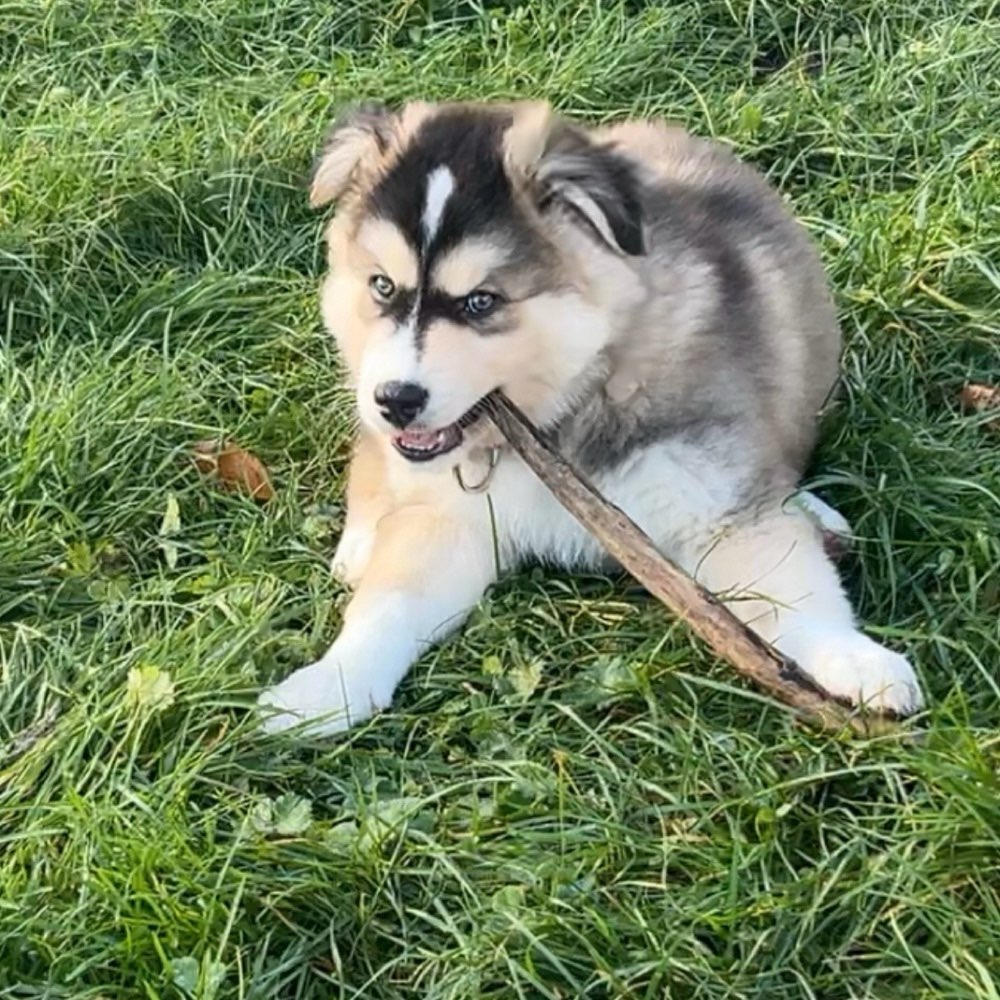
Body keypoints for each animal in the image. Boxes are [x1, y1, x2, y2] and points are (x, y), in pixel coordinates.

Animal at [256, 99, 920, 736]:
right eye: (382, 286)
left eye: (480, 302)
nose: (395, 399)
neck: (564, 410)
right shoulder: (453, 518)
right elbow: (387, 604)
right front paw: (329, 685)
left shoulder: (723, 511)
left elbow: (790, 589)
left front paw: (853, 657)